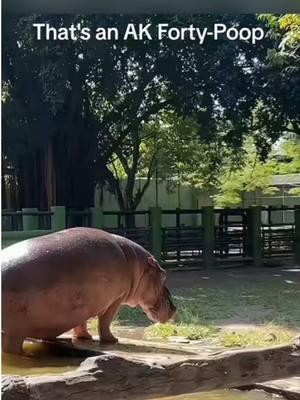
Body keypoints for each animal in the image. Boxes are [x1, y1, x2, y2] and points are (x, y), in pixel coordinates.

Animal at [1, 227, 176, 354]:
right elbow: (105, 322)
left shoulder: (82, 305)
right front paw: (113, 340)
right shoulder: (116, 299)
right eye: (164, 275)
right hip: (15, 332)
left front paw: (84, 337)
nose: (175, 307)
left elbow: (81, 322)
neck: (137, 266)